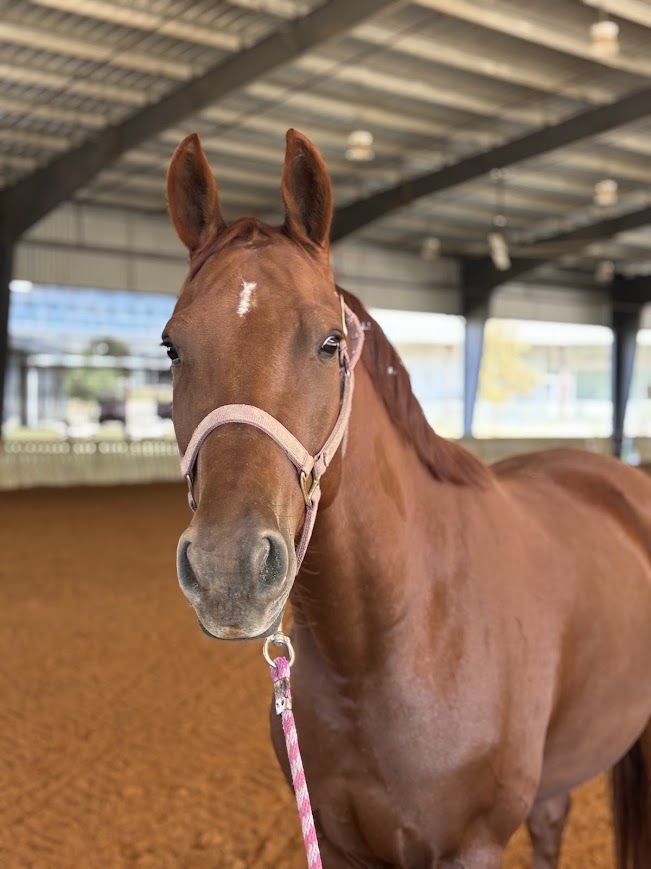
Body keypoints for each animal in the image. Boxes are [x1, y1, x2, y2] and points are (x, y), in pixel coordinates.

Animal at [164, 128, 651, 868]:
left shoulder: (471, 847)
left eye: (330, 342)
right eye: (171, 347)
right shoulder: (340, 845)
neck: (394, 637)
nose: (229, 570)